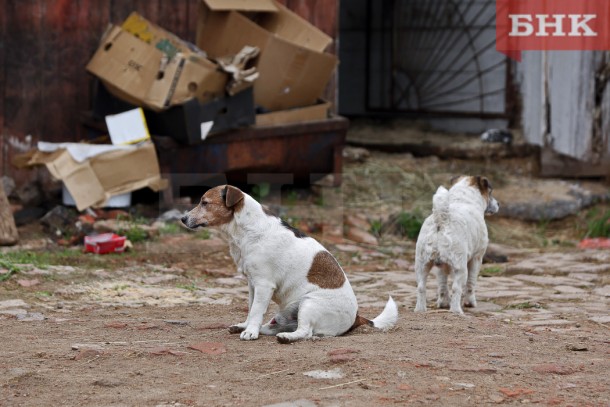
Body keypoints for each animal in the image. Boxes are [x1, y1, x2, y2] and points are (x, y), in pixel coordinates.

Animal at [179, 186, 400, 342]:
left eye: (205, 202)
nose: (182, 218)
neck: (248, 230)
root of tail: (357, 317)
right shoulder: (252, 284)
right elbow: (251, 309)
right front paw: (247, 326)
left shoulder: (263, 285)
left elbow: (256, 310)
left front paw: (249, 332)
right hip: (284, 315)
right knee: (273, 327)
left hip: (309, 304)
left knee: (305, 332)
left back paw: (286, 337)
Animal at [410, 176, 496, 316]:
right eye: (490, 192)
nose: (498, 204)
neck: (463, 199)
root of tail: (441, 219)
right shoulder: (477, 258)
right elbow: (471, 283)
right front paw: (470, 303)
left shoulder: (440, 266)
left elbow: (442, 285)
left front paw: (443, 303)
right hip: (460, 268)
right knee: (457, 288)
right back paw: (457, 311)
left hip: (421, 265)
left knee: (421, 287)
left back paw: (420, 309)